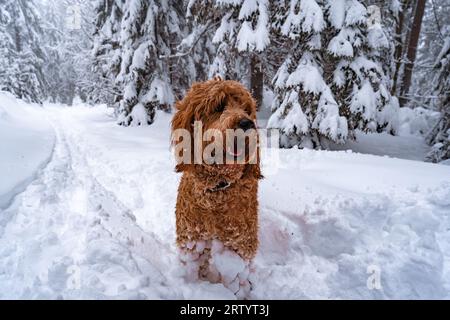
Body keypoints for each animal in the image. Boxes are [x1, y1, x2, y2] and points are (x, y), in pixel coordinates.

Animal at [172, 76, 264, 296]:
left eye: (247, 109)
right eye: (219, 106)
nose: (247, 123)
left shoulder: (239, 241)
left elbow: (235, 277)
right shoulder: (191, 234)